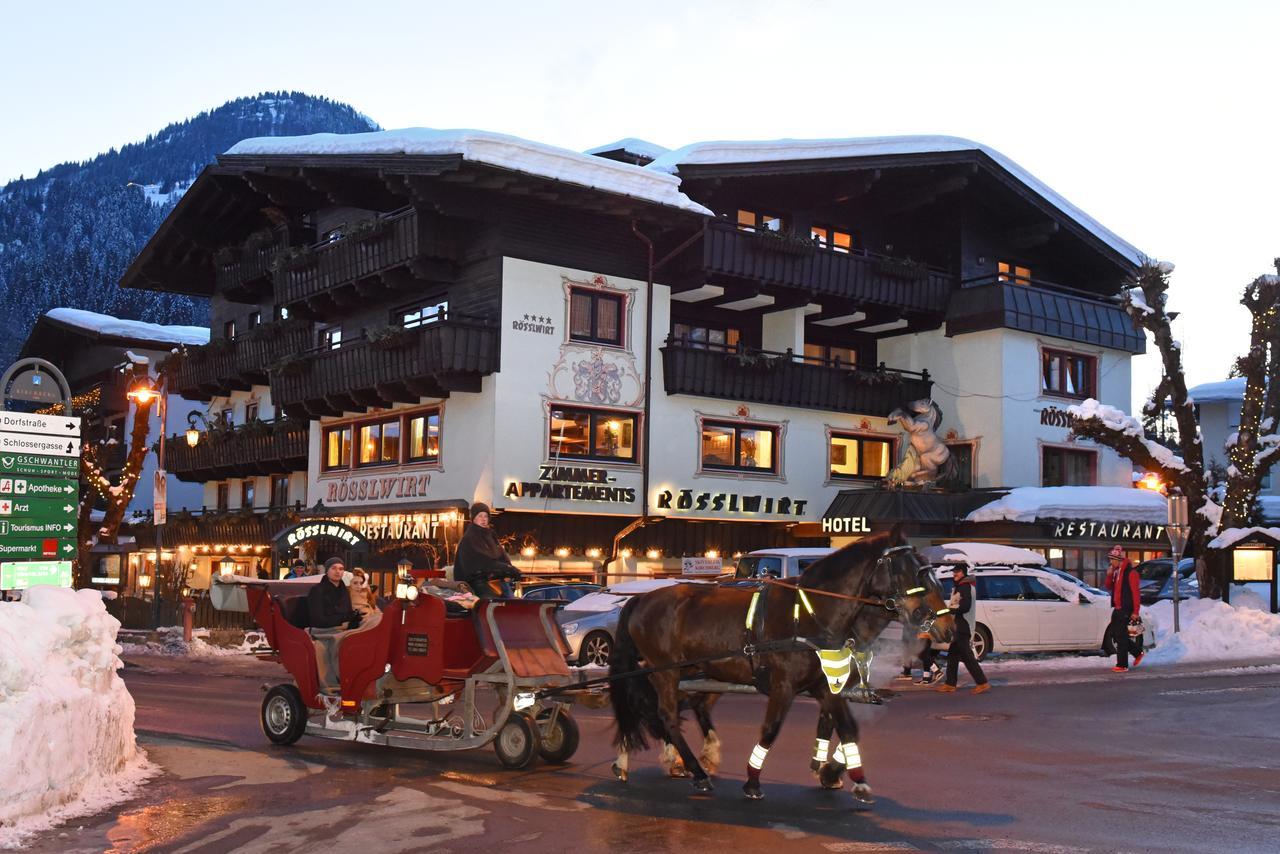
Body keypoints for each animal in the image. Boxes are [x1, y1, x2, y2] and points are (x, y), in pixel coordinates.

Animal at [606, 530, 952, 804]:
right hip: (666, 670)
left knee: (678, 709)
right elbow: (771, 729)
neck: (810, 612)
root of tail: (640, 599)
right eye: (911, 570)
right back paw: (691, 770)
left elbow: (845, 726)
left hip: (694, 671)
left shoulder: (826, 684)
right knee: (664, 714)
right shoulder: (784, 685)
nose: (945, 626)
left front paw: (849, 777)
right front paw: (753, 780)